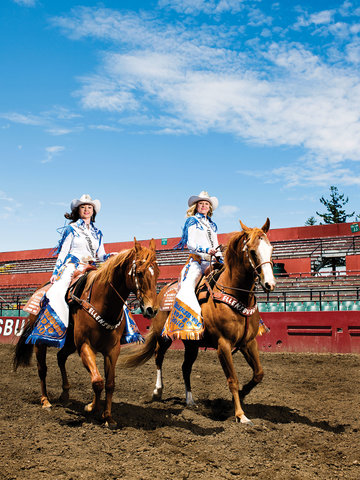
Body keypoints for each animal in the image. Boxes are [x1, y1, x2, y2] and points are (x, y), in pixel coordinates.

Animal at [13, 240, 159, 428]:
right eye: (139, 273)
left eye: (157, 272)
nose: (151, 309)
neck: (103, 304)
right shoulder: (85, 345)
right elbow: (97, 381)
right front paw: (91, 407)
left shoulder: (112, 350)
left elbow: (109, 383)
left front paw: (108, 417)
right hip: (40, 342)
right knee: (42, 369)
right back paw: (46, 401)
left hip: (69, 343)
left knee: (61, 357)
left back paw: (65, 394)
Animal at [122, 218, 278, 424]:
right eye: (252, 251)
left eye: (271, 248)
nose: (270, 284)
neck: (236, 295)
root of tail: (161, 293)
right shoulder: (223, 345)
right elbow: (232, 379)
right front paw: (240, 414)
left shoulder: (248, 342)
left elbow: (258, 373)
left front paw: (243, 395)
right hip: (164, 337)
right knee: (158, 356)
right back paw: (157, 391)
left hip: (192, 344)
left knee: (186, 368)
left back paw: (190, 400)